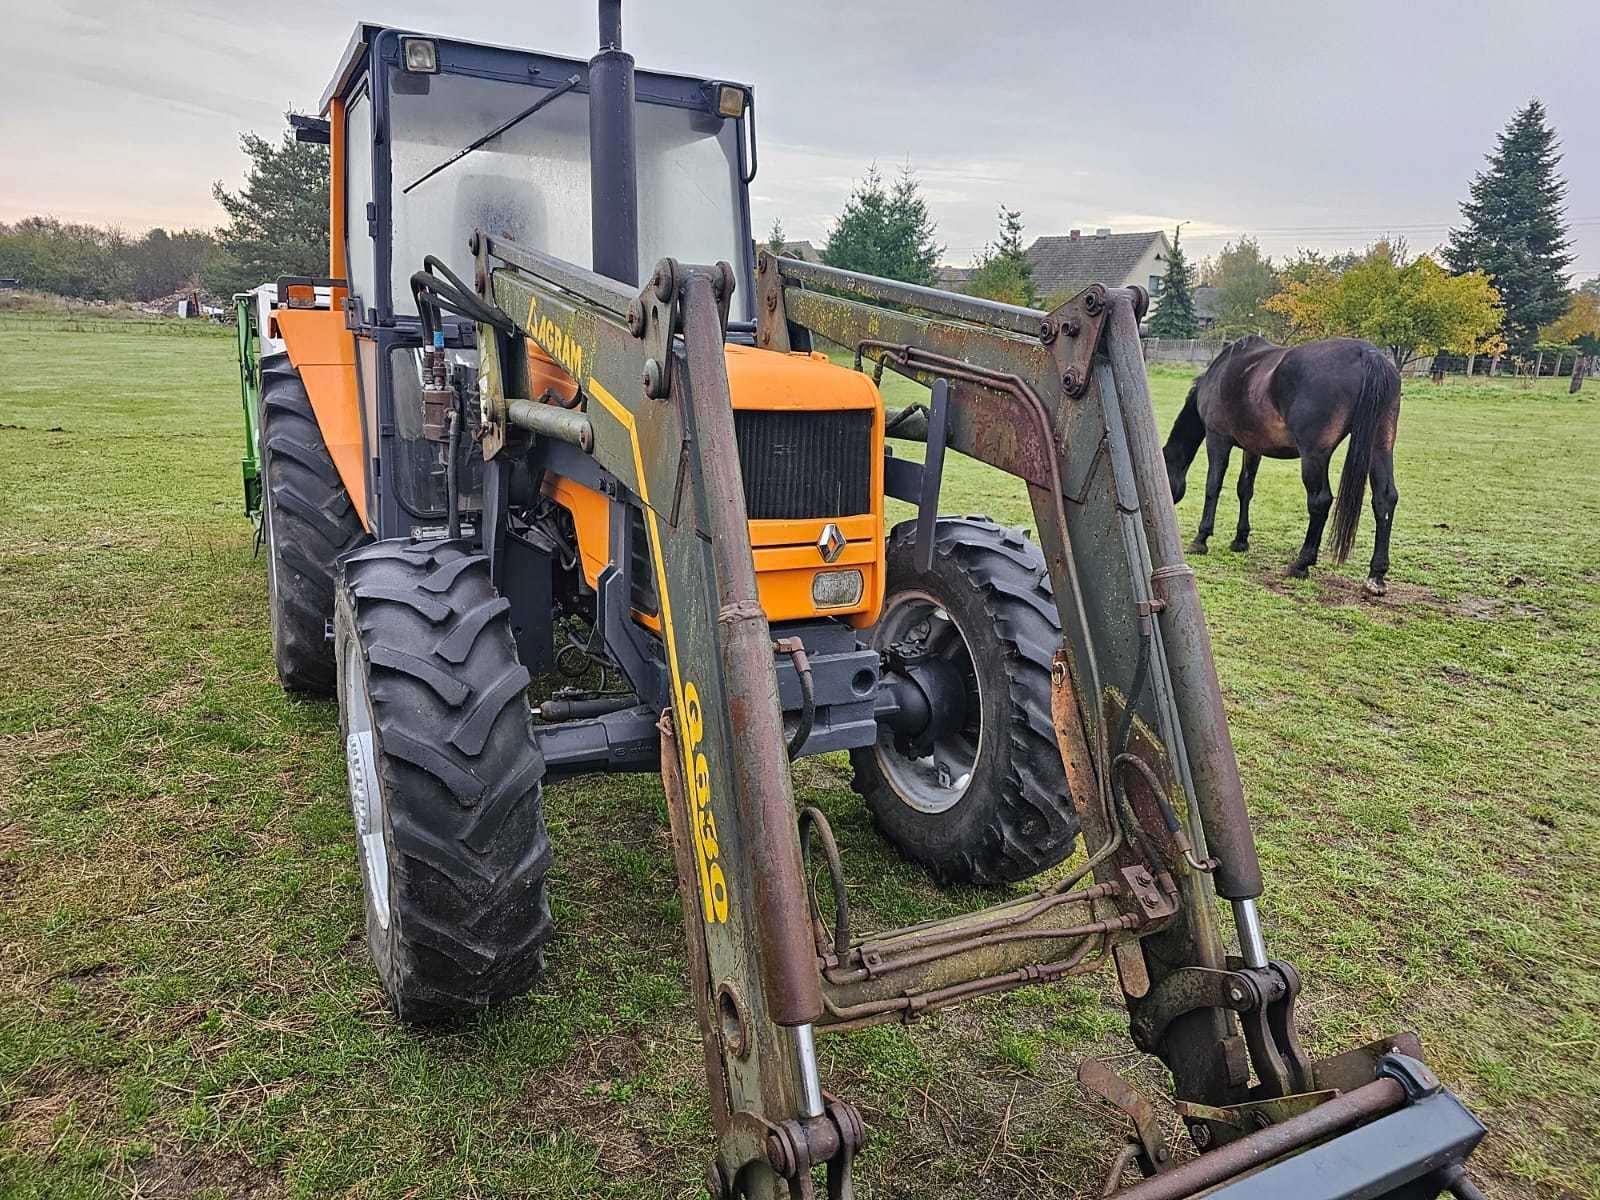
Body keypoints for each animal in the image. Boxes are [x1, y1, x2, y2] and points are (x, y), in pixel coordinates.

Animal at [1164, 334, 1401, 598]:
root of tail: (1367, 353)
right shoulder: (1252, 448)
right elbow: (1245, 489)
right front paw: (1240, 540)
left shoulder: (1217, 438)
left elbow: (1213, 486)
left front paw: (1201, 539)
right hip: (1379, 445)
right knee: (1384, 500)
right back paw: (1376, 575)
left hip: (1314, 455)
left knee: (1320, 501)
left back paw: (1301, 563)